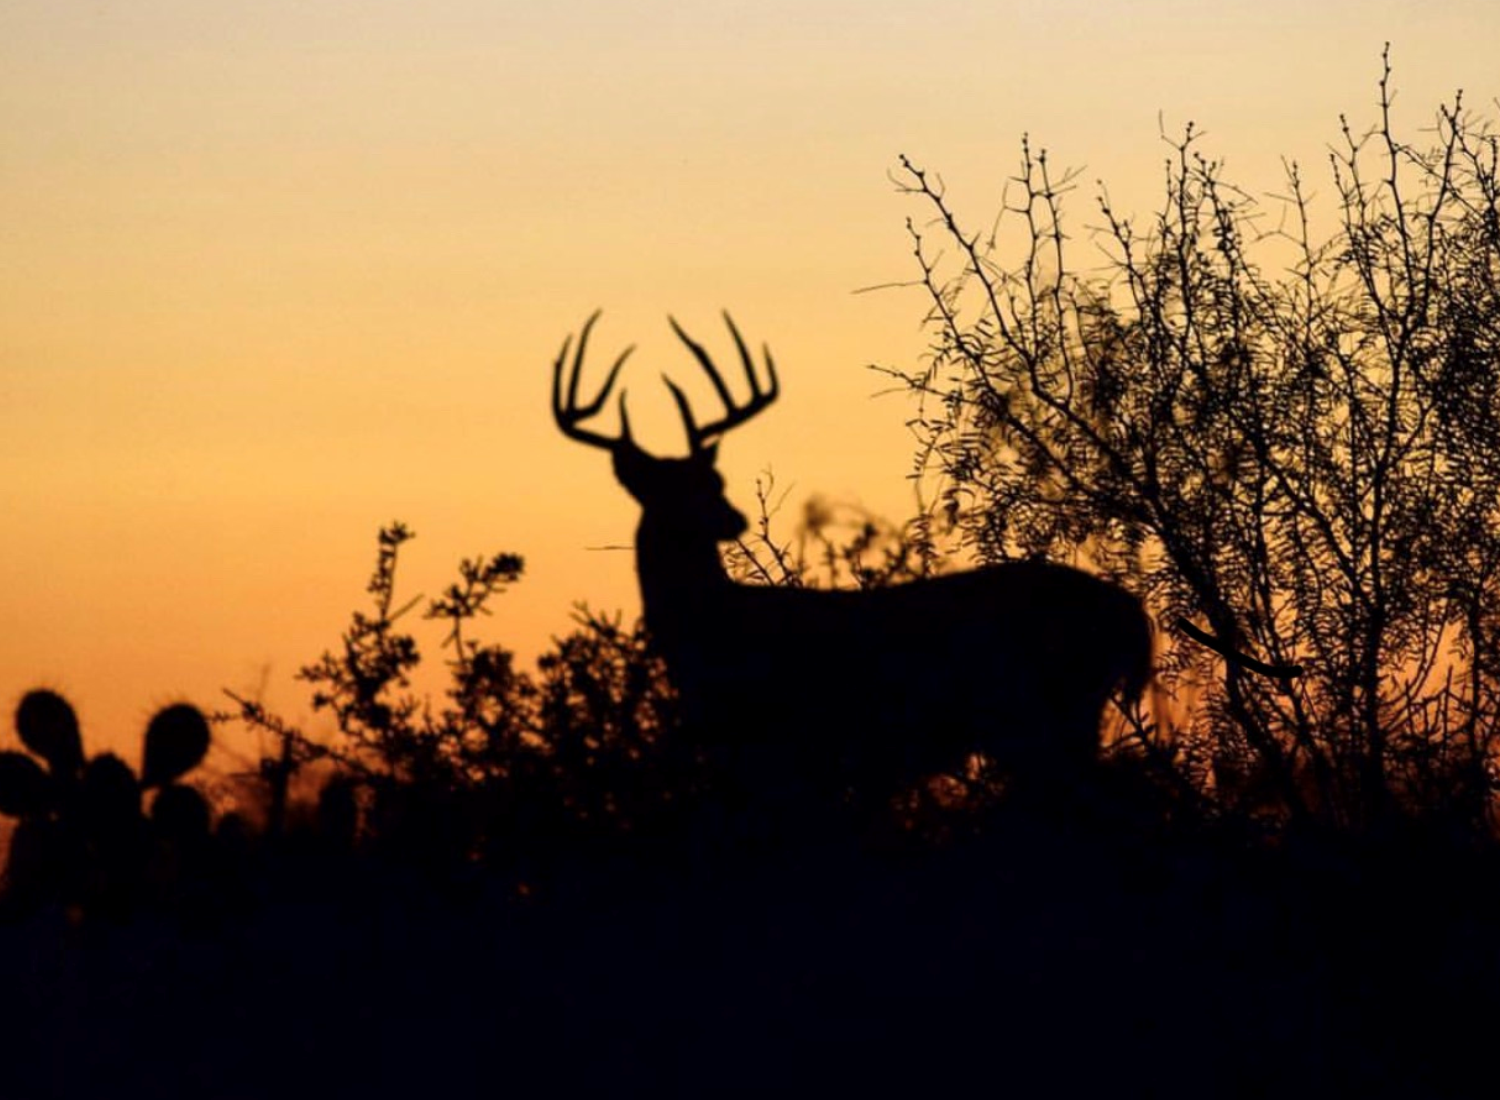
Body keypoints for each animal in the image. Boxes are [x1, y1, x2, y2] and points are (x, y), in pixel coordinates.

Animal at [558, 313, 1152, 822]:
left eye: (714, 481)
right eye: (669, 490)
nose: (732, 517)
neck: (712, 634)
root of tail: (1129, 612)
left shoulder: (785, 746)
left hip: (1048, 710)